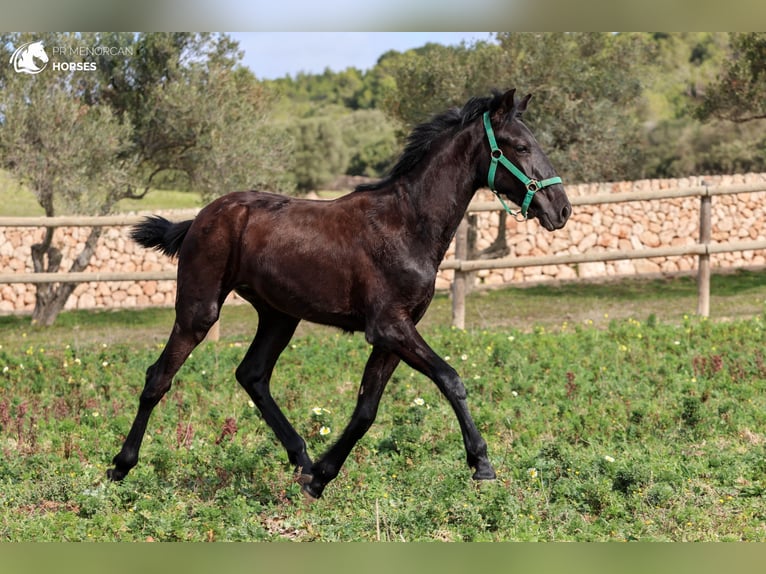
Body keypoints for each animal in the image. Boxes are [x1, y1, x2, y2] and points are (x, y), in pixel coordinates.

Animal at [111, 89, 572, 500]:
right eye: (520, 146)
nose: (561, 209)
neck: (407, 224)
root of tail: (201, 217)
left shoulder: (394, 333)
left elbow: (366, 408)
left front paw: (320, 478)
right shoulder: (389, 327)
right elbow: (451, 379)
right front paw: (482, 465)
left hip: (280, 316)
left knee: (252, 375)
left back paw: (301, 460)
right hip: (199, 309)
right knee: (158, 377)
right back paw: (119, 467)